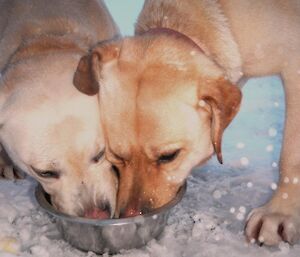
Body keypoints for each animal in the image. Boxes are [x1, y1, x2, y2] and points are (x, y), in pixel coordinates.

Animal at [74, 0, 300, 244]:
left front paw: (279, 212)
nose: (132, 215)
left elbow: (290, 156)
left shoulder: (294, 66)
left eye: (168, 156)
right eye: (117, 157)